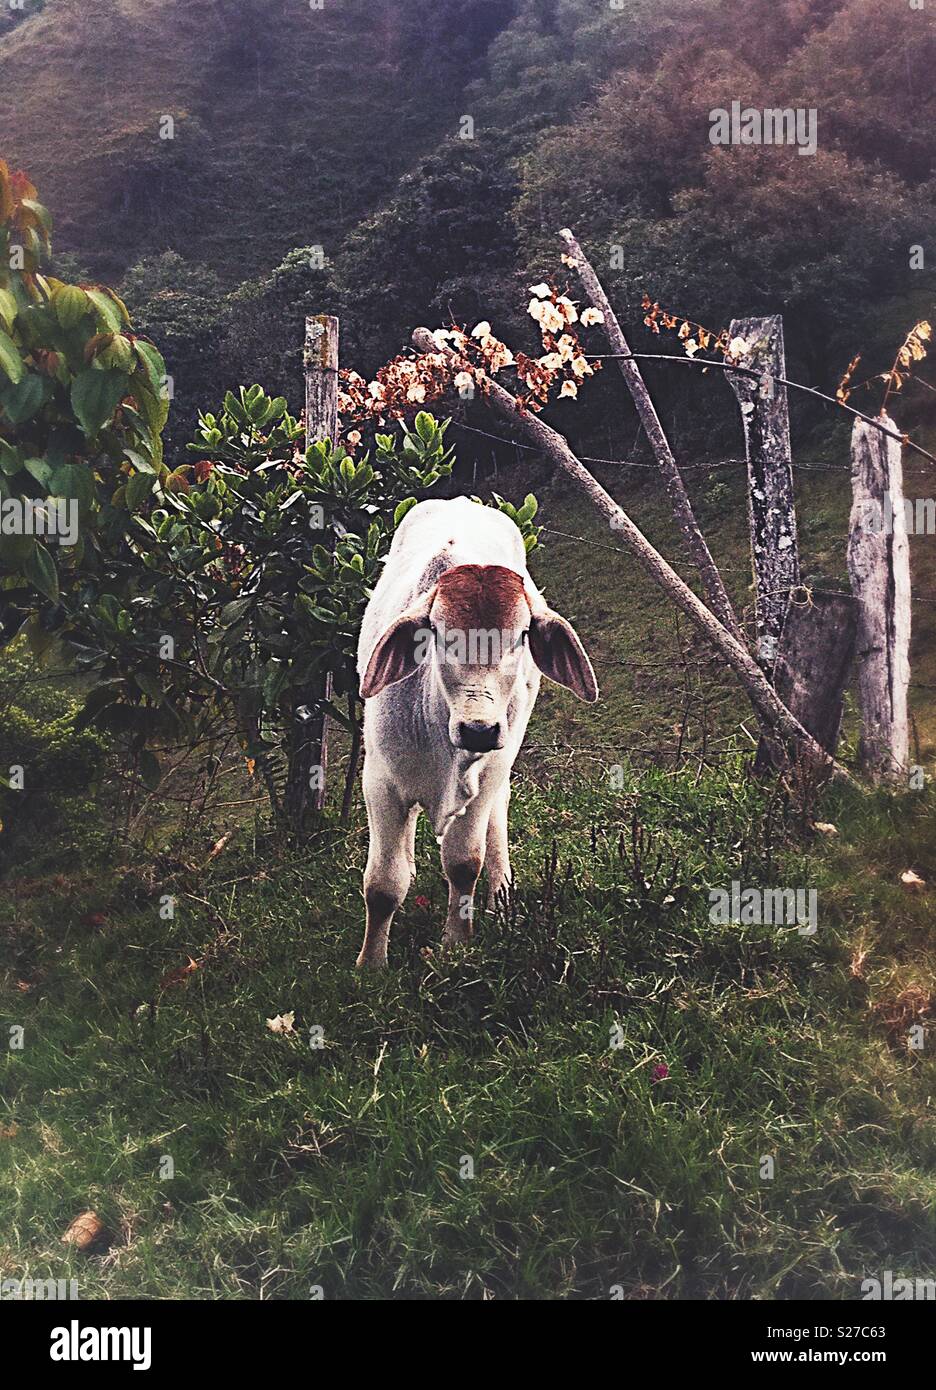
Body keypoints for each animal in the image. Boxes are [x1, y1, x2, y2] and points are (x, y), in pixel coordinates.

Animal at [355, 496, 598, 969]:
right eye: (437, 634)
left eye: (522, 635)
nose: (479, 730)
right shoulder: (380, 783)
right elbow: (383, 885)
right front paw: (370, 966)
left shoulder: (487, 775)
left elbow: (464, 863)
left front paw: (457, 943)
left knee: (497, 815)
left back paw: (500, 895)